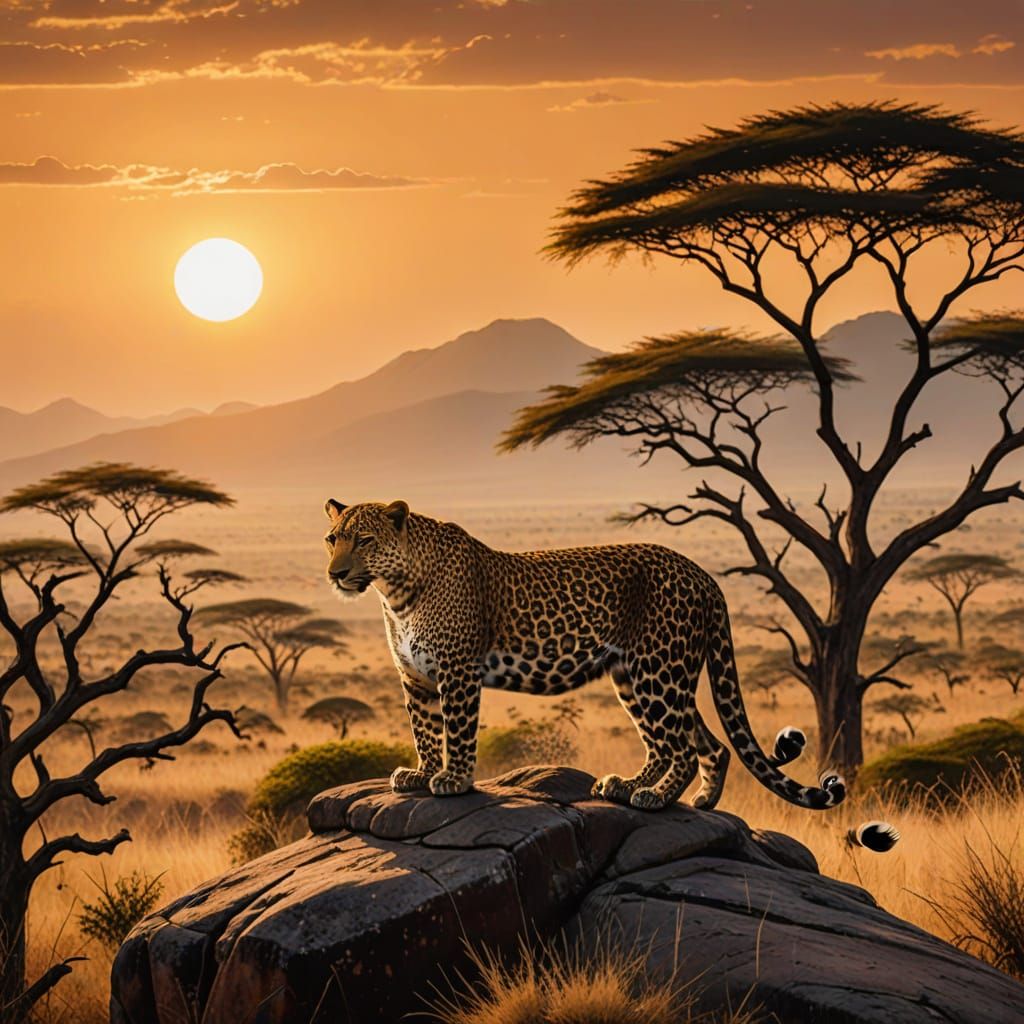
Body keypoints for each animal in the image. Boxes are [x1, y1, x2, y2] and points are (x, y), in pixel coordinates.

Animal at [323, 498, 845, 812]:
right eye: (332, 540)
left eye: (364, 540)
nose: (335, 573)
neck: (396, 593)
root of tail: (703, 574)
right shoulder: (415, 677)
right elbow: (424, 729)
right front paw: (422, 773)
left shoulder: (458, 671)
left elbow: (458, 729)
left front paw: (454, 779)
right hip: (638, 675)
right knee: (698, 743)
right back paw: (662, 793)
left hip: (658, 670)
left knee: (680, 744)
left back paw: (655, 797)